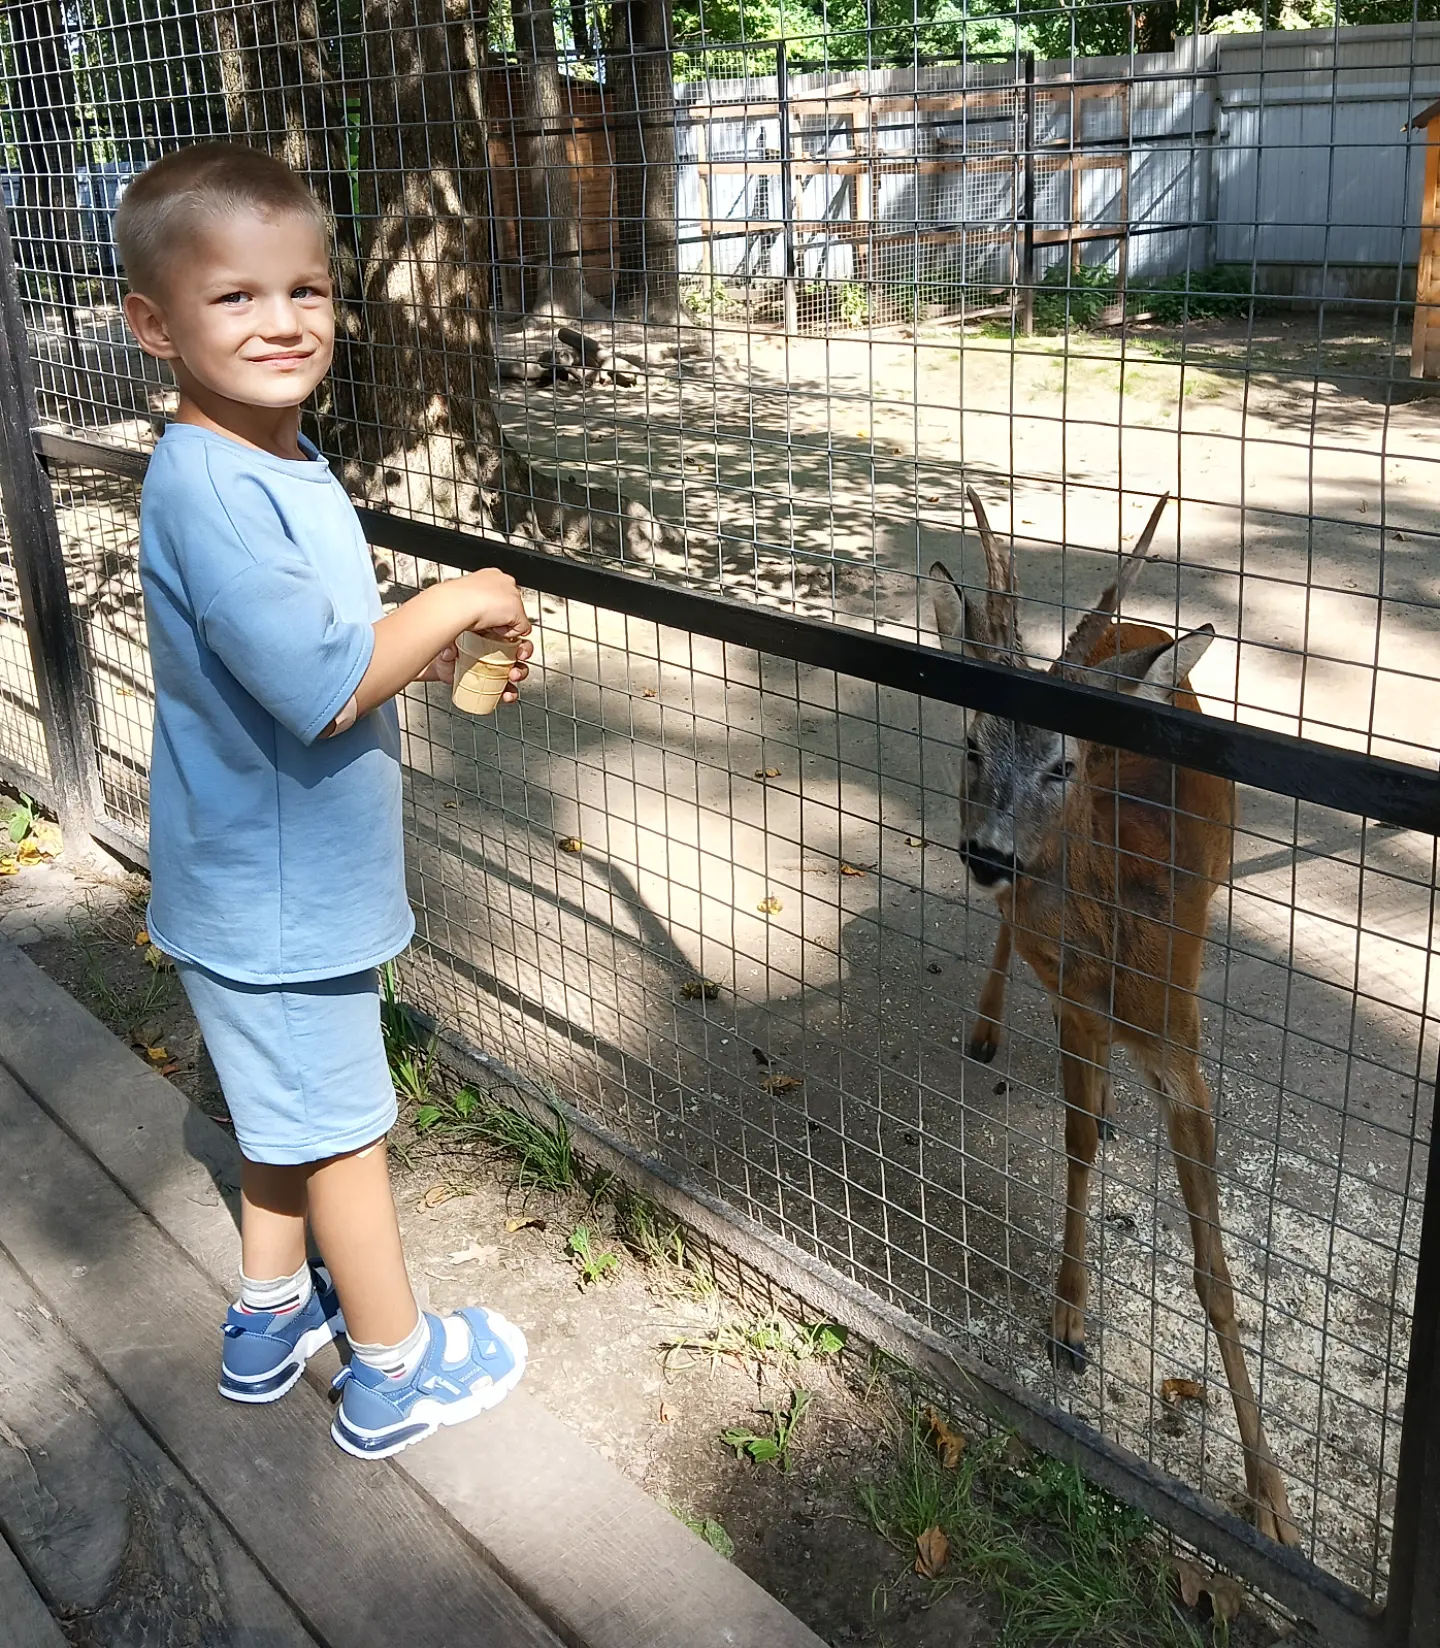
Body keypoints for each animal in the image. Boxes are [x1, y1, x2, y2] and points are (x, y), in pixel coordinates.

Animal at [929, 487, 1298, 1542]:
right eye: (971, 742)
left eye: (1064, 763)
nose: (988, 851)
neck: (1118, 942)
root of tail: (1140, 634)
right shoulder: (1078, 1007)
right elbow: (1079, 1142)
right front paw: (1067, 1318)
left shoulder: (1179, 1035)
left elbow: (1215, 1270)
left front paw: (1269, 1499)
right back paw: (986, 1022)